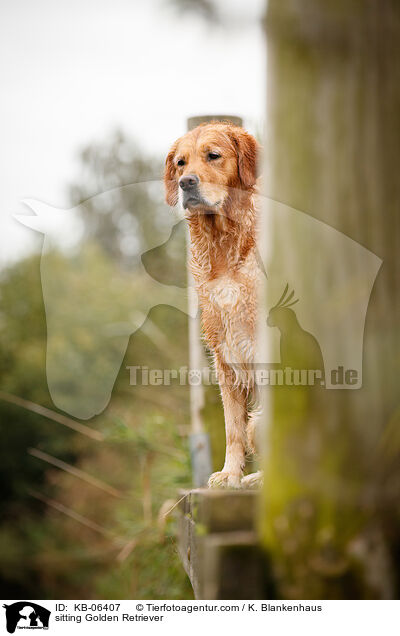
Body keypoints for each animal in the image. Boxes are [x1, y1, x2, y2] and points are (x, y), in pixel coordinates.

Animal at [163, 121, 262, 486]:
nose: (185, 183)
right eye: (181, 163)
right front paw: (230, 474)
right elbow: (233, 427)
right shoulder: (224, 355)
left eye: (213, 156)